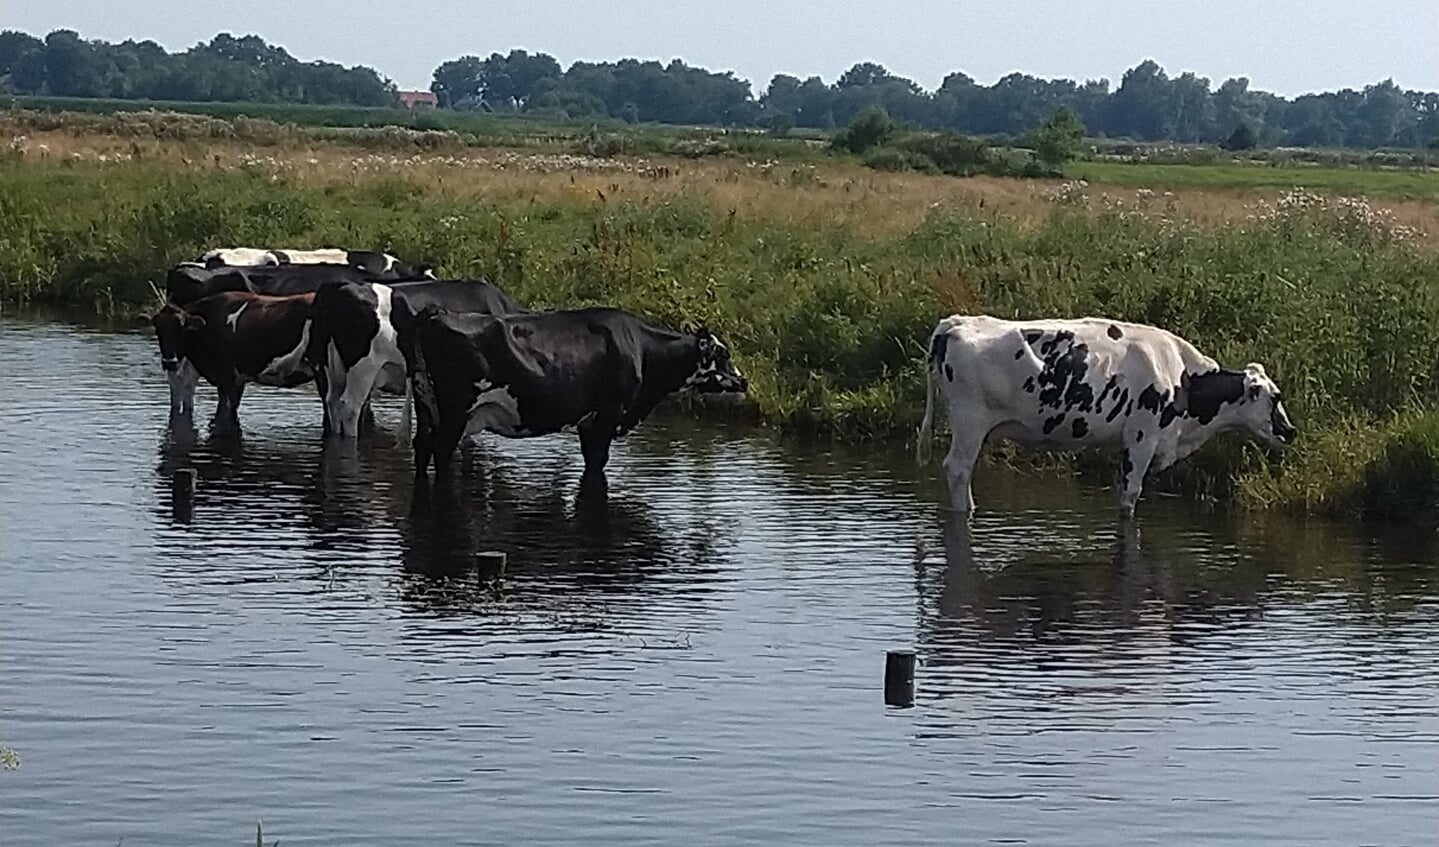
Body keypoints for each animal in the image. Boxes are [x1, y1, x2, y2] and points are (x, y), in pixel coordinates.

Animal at [400, 307, 748, 483]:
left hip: (428, 405)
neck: (641, 349)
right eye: (724, 353)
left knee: (422, 446)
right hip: (455, 412)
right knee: (441, 451)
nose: (744, 381)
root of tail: (434, 315)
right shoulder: (608, 414)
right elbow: (597, 462)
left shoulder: (587, 420)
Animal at [915, 314, 1300, 517]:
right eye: (1275, 397)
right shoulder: (1142, 438)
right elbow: (1130, 495)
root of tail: (957, 322)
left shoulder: (1125, 446)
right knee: (958, 469)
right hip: (970, 421)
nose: (1290, 430)